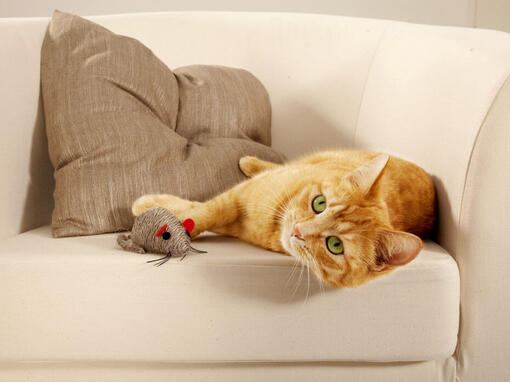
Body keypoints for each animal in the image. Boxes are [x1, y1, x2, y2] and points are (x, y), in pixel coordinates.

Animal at [133, 149, 436, 286]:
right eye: (319, 203)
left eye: (335, 245)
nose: (299, 230)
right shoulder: (239, 195)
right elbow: (205, 212)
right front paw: (154, 209)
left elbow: (199, 213)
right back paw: (249, 161)